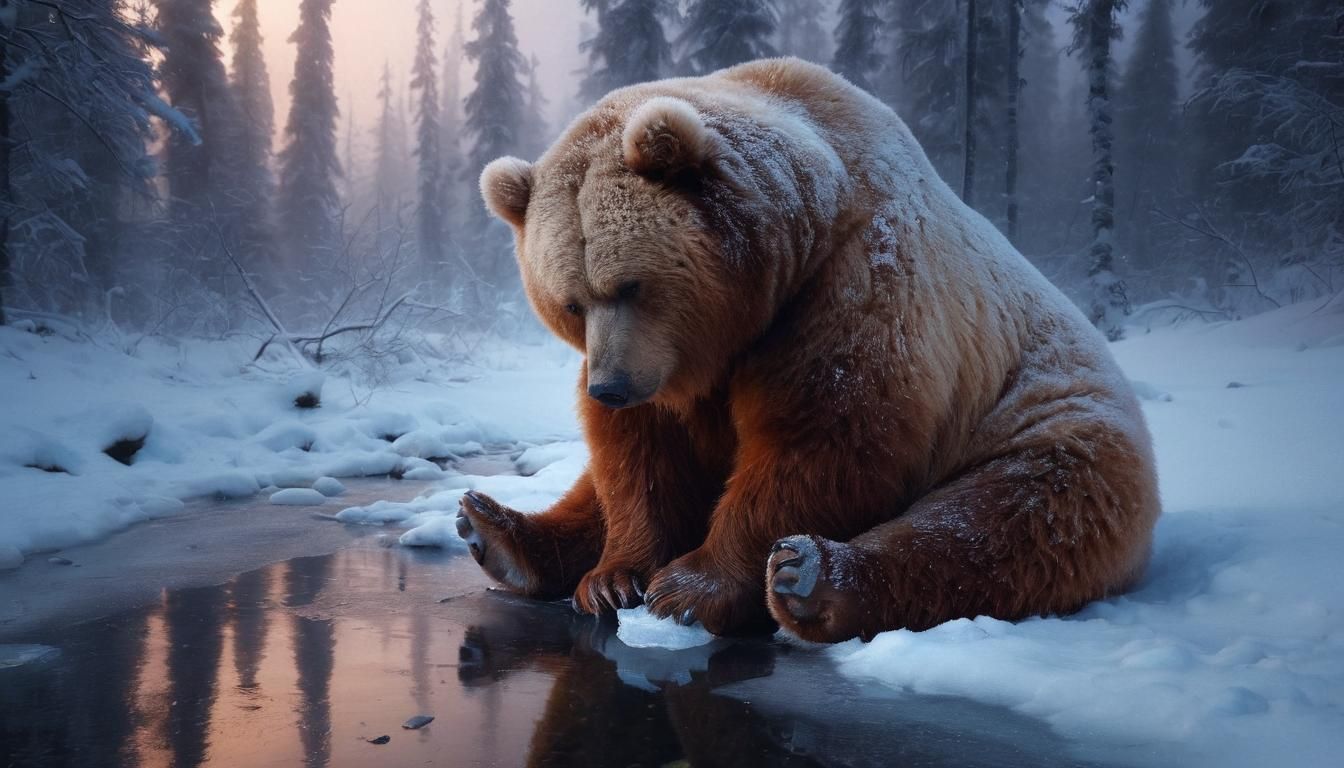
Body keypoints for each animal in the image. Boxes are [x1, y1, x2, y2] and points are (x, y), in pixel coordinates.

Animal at [458, 57, 1160, 643]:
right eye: (570, 303)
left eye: (629, 284)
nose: (609, 387)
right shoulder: (671, 369)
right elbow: (640, 457)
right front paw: (614, 580)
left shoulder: (847, 286)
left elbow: (824, 435)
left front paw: (690, 588)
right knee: (588, 488)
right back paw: (495, 530)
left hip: (1042, 422)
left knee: (1003, 520)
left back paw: (813, 578)